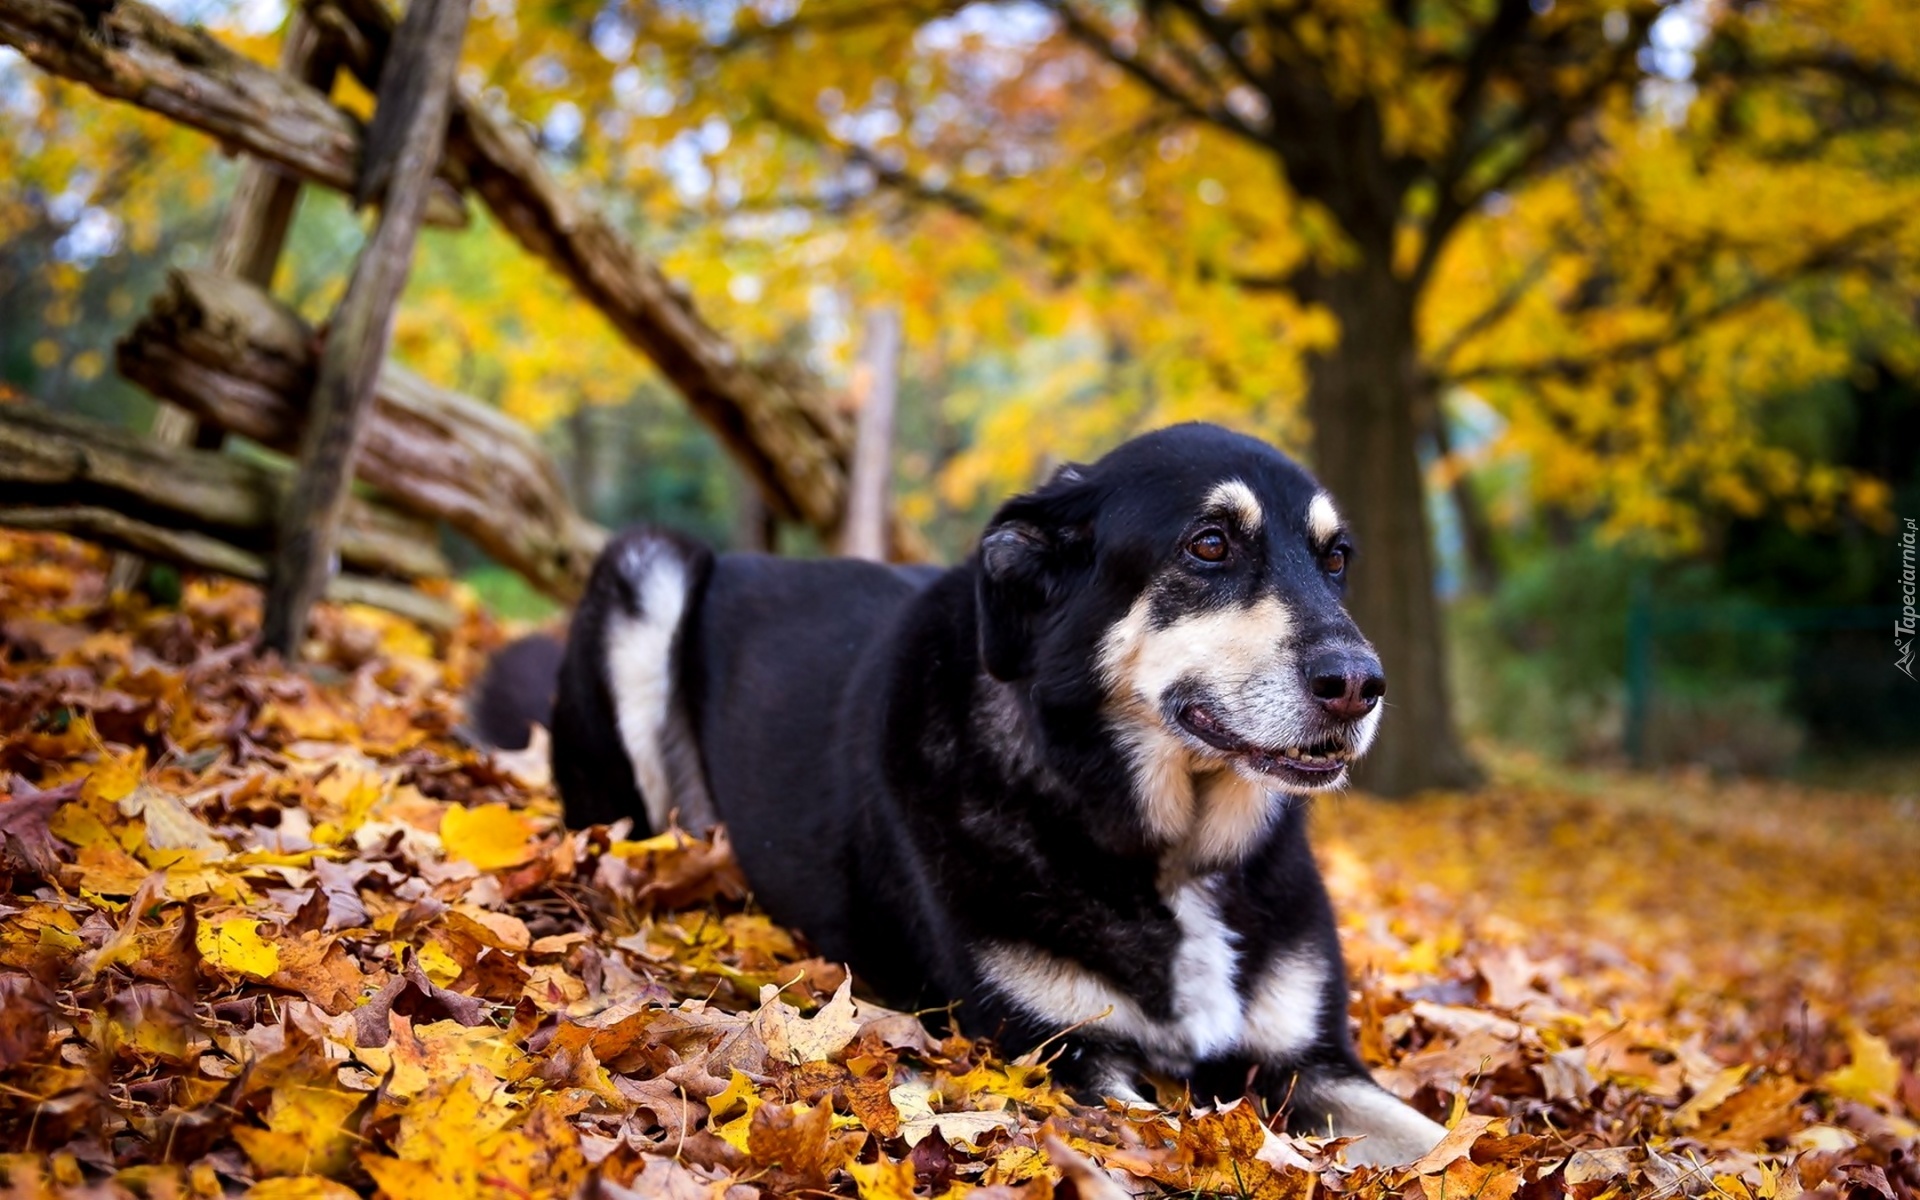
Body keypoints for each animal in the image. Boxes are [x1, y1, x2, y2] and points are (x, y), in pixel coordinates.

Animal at [476, 420, 1443, 1159]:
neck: (1167, 851)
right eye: (1209, 545)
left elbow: (1432, 1142)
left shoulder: (1311, 1064)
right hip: (648, 571)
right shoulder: (1065, 1056)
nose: (1361, 684)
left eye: (1337, 559)